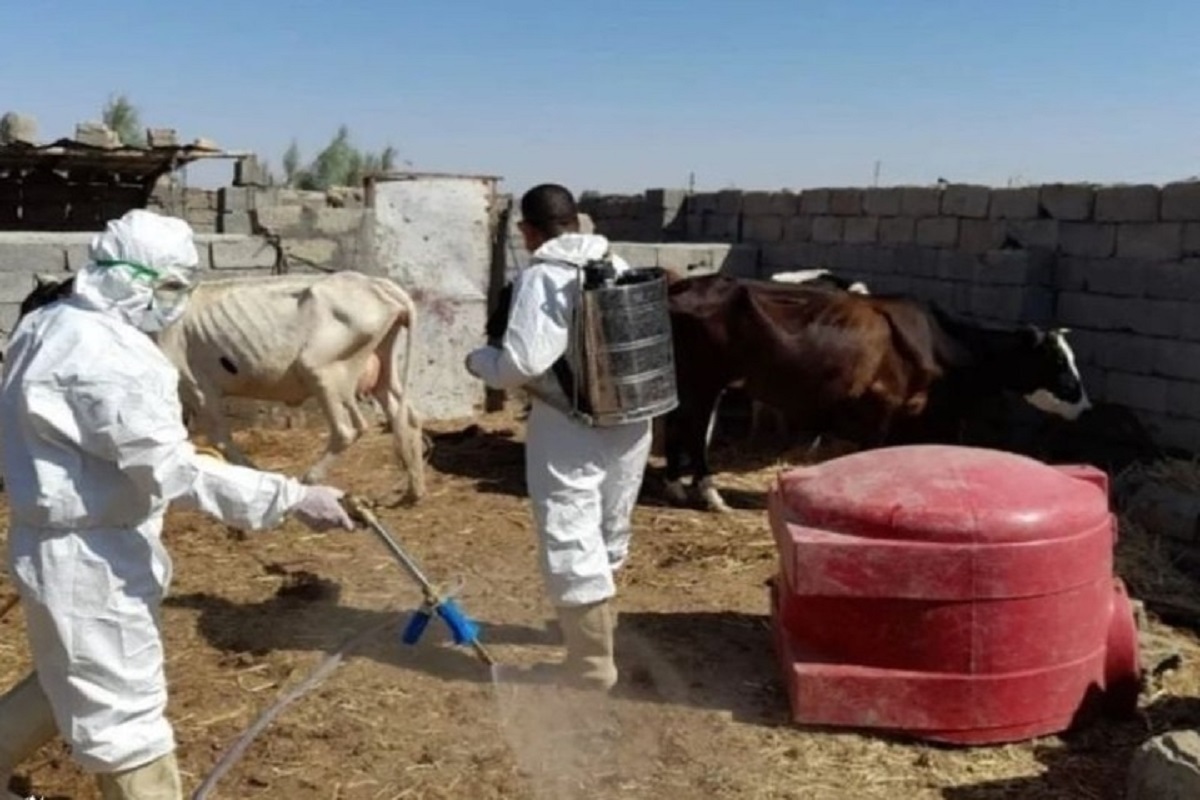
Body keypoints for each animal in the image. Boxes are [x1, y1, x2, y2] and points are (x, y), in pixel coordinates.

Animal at [157, 272, 424, 503]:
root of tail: (376, 284)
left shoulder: (197, 387)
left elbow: (220, 439)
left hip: (323, 371)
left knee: (348, 430)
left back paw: (309, 478)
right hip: (382, 370)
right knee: (406, 418)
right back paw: (415, 490)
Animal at [662, 275, 1094, 510]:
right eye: (1058, 362)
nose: (1086, 408)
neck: (938, 343)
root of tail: (682, 287)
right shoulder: (881, 409)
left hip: (687, 382)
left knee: (676, 423)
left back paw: (676, 486)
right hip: (703, 381)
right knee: (692, 429)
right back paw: (709, 493)